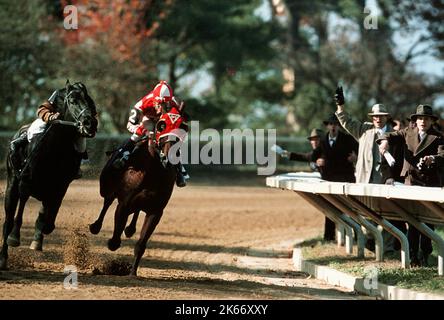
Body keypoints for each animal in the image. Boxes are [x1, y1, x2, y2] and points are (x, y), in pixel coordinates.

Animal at [0, 80, 97, 270]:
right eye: (72, 101)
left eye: (90, 101)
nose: (90, 124)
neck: (55, 150)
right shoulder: (25, 180)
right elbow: (20, 207)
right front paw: (15, 237)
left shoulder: (60, 186)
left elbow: (49, 217)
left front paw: (39, 236)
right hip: (11, 184)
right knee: (7, 220)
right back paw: (3, 258)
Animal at [89, 107, 188, 276]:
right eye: (162, 126)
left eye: (182, 127)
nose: (171, 155)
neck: (154, 170)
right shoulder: (124, 204)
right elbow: (115, 240)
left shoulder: (156, 211)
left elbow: (141, 244)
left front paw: (132, 272)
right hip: (107, 187)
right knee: (107, 202)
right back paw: (96, 226)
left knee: (135, 212)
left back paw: (130, 229)